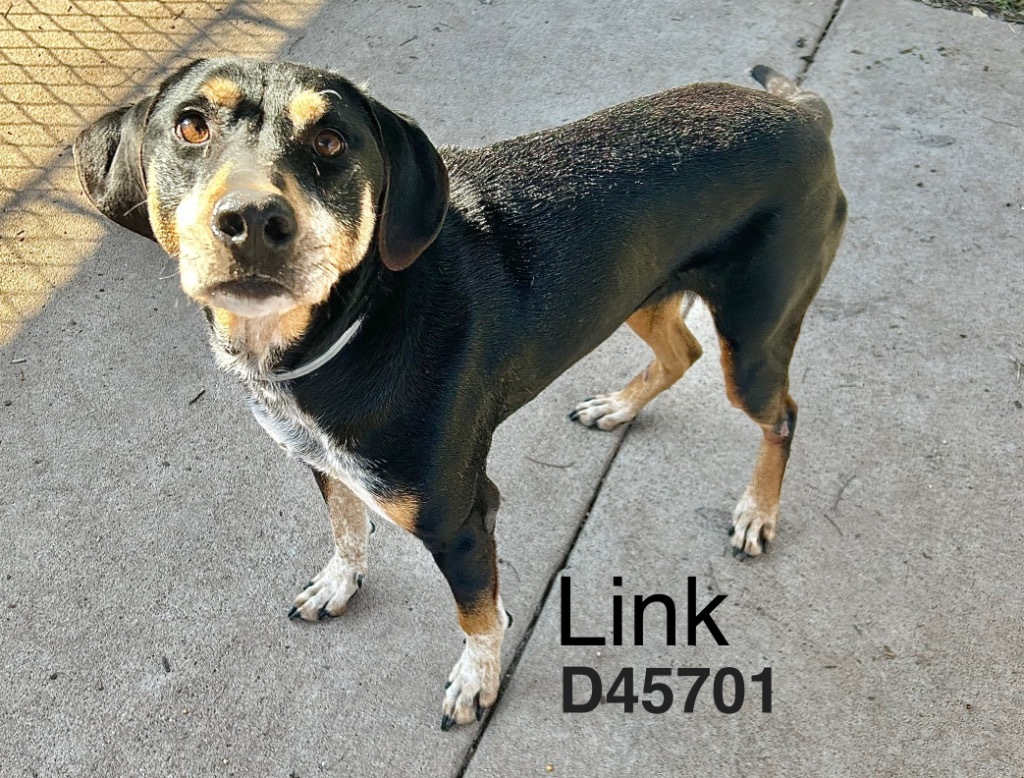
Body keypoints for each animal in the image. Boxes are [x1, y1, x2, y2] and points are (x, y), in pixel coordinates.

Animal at [74, 58, 846, 729]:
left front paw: (478, 681)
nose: (254, 222)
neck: (358, 320)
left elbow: (476, 614)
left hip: (753, 340)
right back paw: (618, 407)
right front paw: (338, 584)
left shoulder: (464, 518)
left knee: (782, 415)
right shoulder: (324, 462)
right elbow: (347, 528)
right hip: (640, 289)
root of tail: (804, 114)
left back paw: (756, 513)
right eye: (191, 126)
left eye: (331, 140)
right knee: (681, 351)